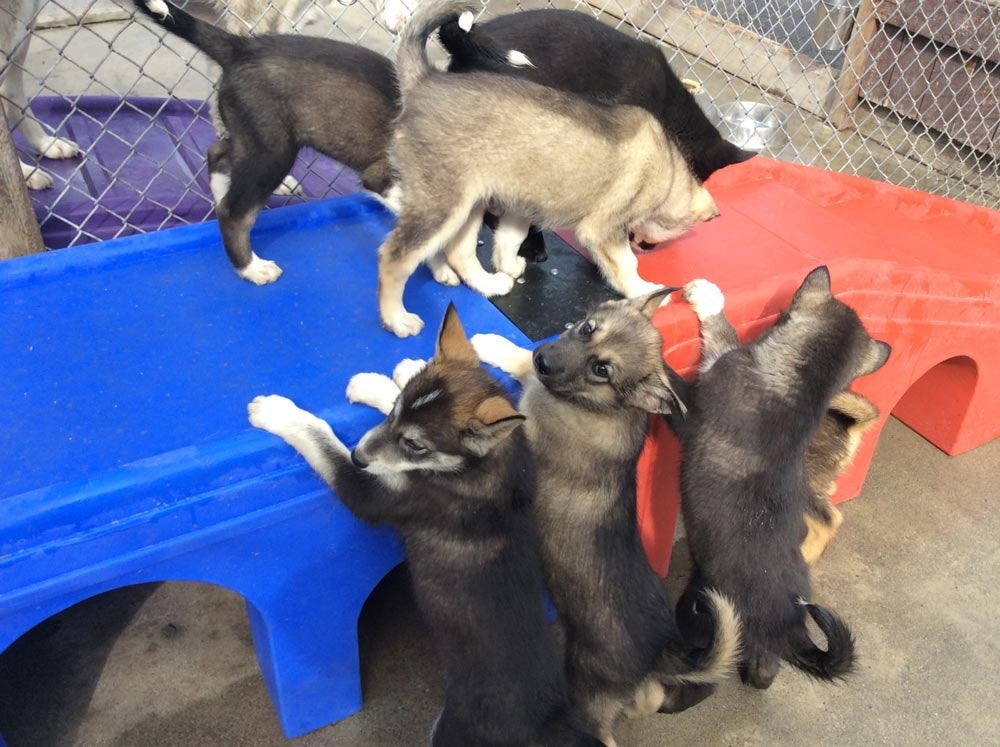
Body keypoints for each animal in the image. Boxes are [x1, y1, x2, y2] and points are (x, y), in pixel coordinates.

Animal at [133, 0, 398, 286]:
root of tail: (240, 48)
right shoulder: (382, 176)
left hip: (254, 137)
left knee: (217, 153)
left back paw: (220, 191)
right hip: (272, 151)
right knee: (233, 212)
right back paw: (251, 267)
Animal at [250, 304, 600, 747]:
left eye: (416, 445)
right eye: (397, 413)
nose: (360, 455)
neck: (478, 464)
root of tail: (550, 719)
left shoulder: (375, 494)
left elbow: (322, 440)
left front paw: (278, 412)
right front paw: (383, 380)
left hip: (448, 729)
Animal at [376, 0, 720, 338]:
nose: (644, 245)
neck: (671, 169)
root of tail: (424, 79)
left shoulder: (522, 206)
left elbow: (510, 239)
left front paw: (509, 264)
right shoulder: (604, 230)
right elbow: (626, 264)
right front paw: (645, 290)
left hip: (470, 203)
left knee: (459, 252)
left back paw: (490, 283)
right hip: (441, 207)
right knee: (393, 258)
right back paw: (397, 319)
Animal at [470, 288, 744, 747]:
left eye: (602, 370)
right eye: (586, 328)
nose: (545, 360)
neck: (599, 405)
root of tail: (659, 650)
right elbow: (522, 365)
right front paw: (500, 347)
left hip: (589, 693)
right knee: (648, 699)